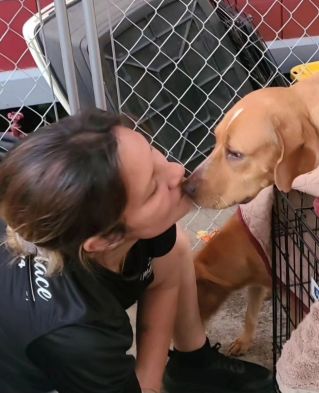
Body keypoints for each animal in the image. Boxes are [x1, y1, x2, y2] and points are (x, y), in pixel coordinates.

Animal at [188, 73, 319, 352]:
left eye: (236, 154)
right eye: (215, 141)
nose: (185, 187)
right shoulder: (261, 279)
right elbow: (250, 311)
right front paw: (244, 340)